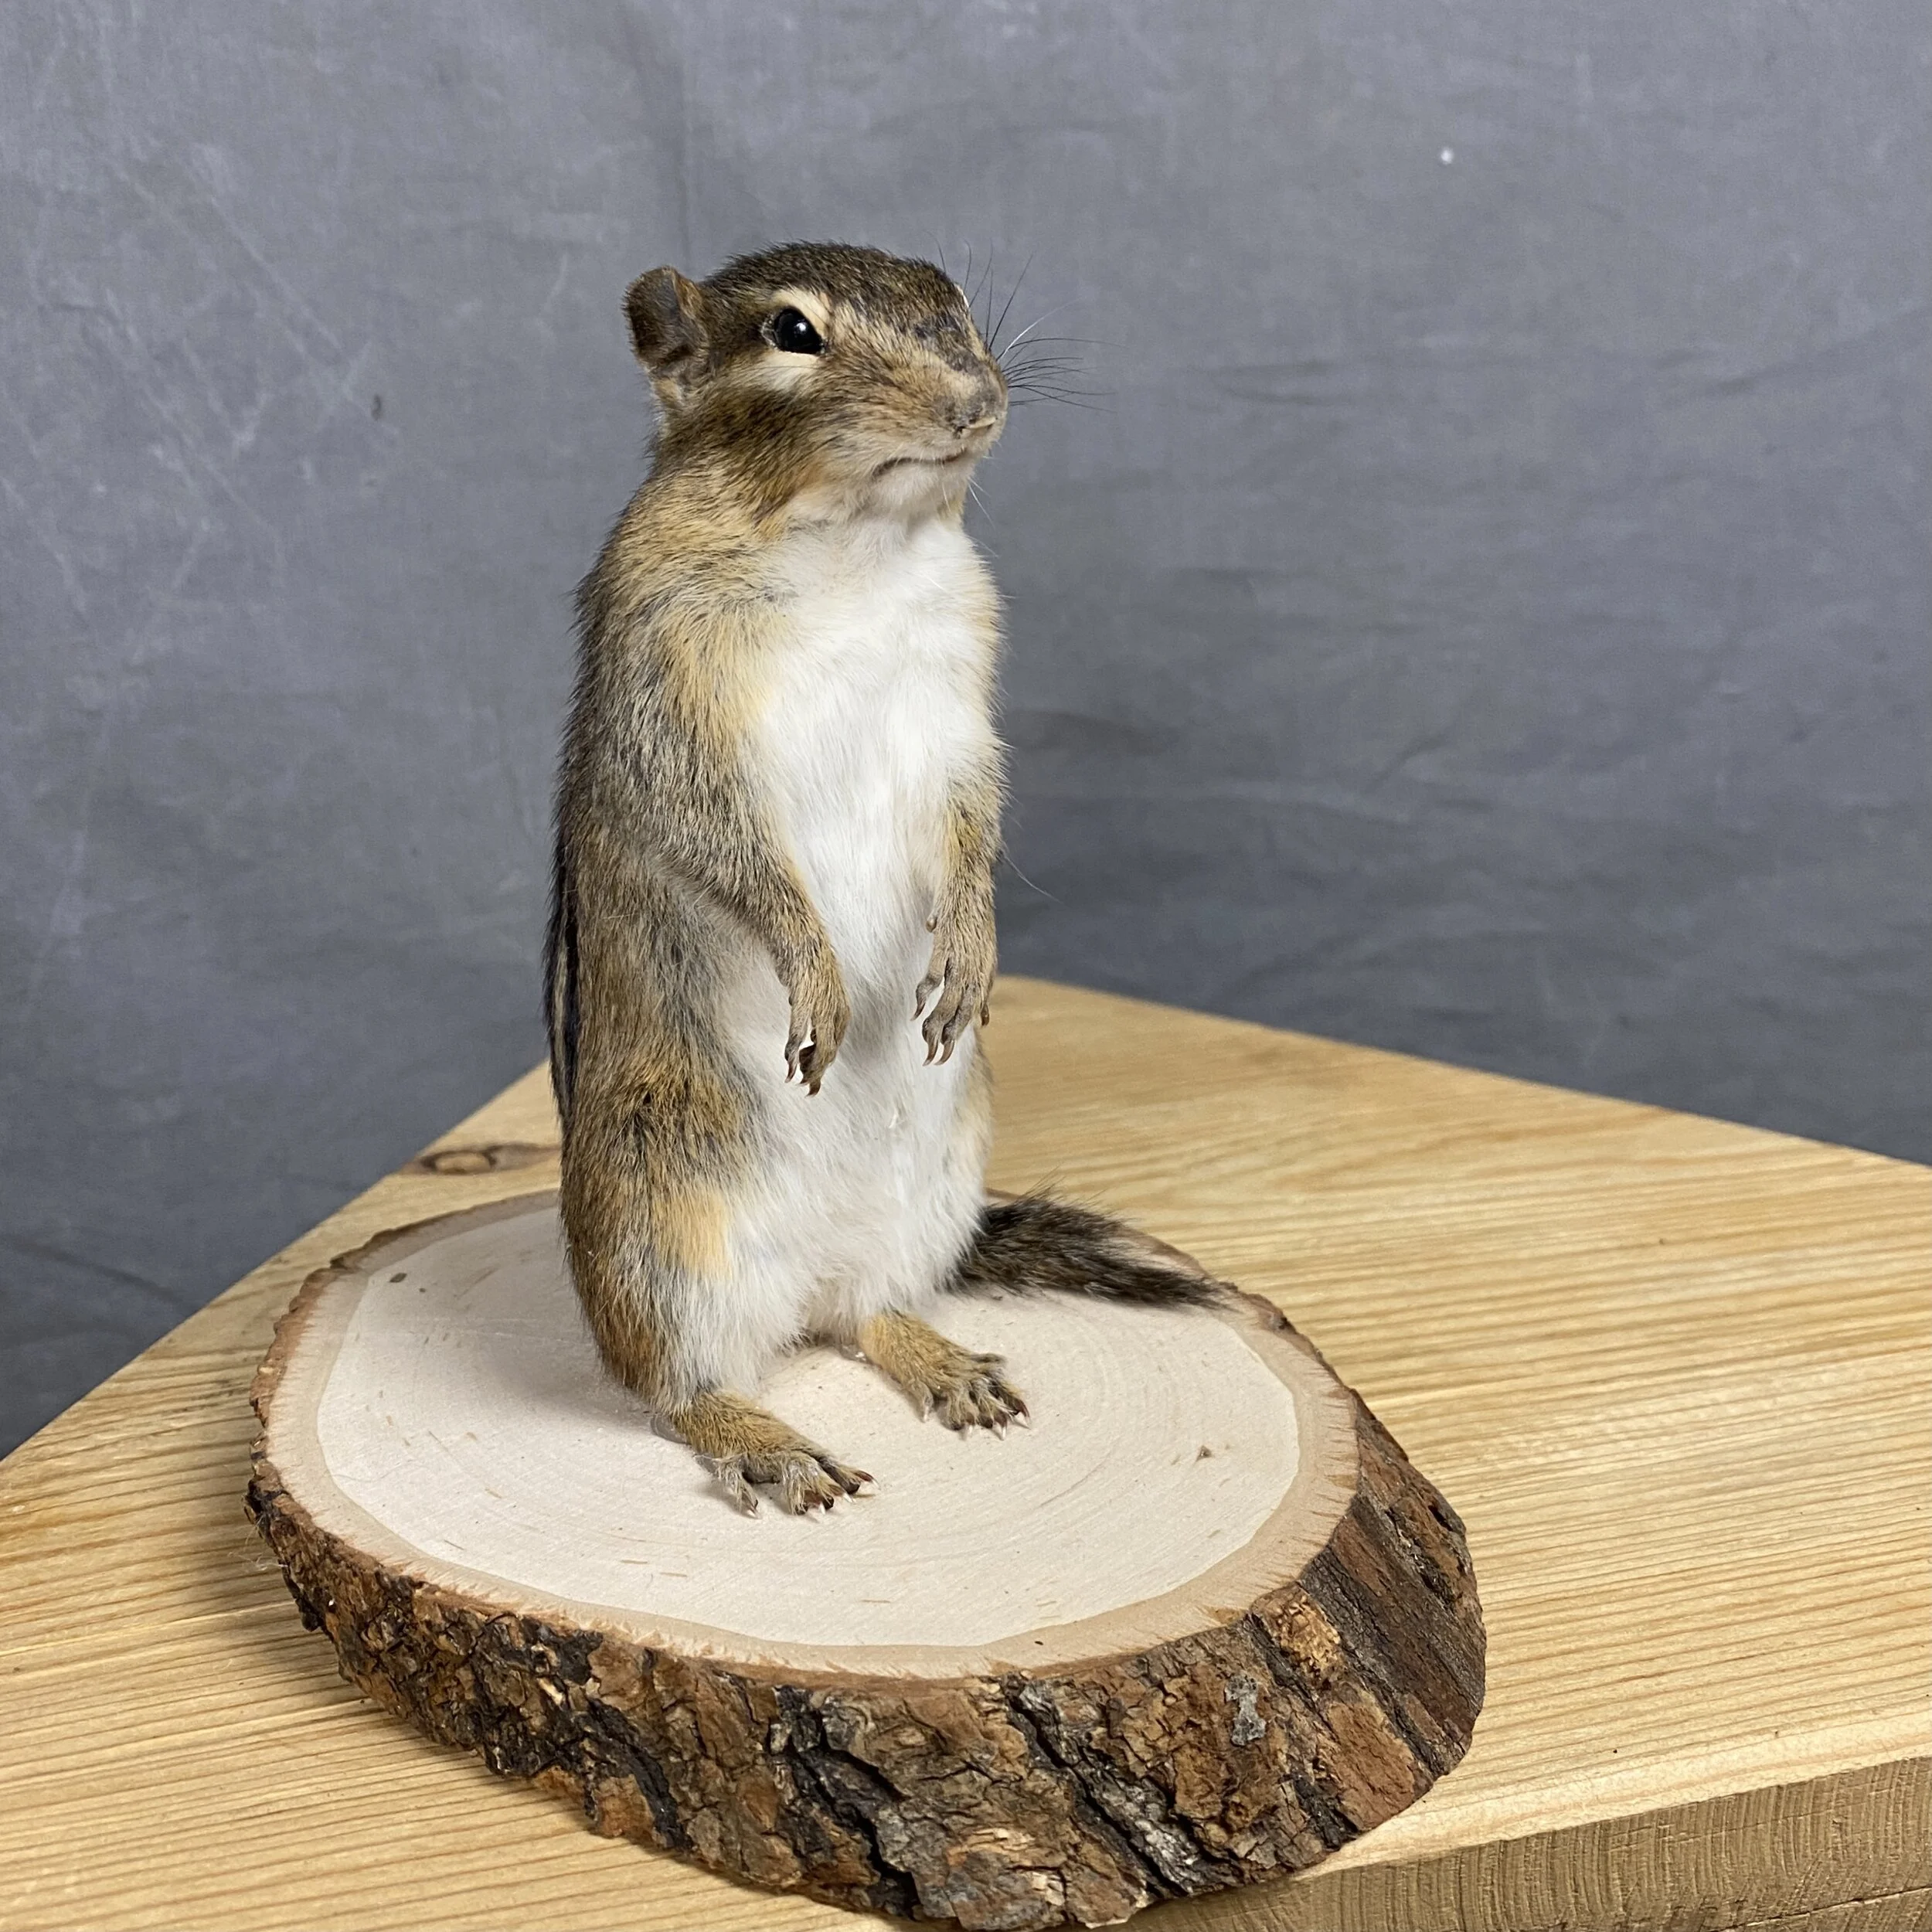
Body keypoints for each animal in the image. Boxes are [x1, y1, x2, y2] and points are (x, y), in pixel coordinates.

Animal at [547, 242, 1212, 1515]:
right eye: (791, 332)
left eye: (950, 299)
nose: (978, 399)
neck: (854, 541)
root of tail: (802, 1290)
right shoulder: (670, 702)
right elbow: (727, 846)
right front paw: (818, 977)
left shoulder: (960, 695)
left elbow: (975, 817)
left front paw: (972, 950)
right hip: (663, 1228)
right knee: (674, 1390)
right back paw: (766, 1439)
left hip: (933, 1194)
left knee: (865, 1319)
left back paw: (944, 1362)